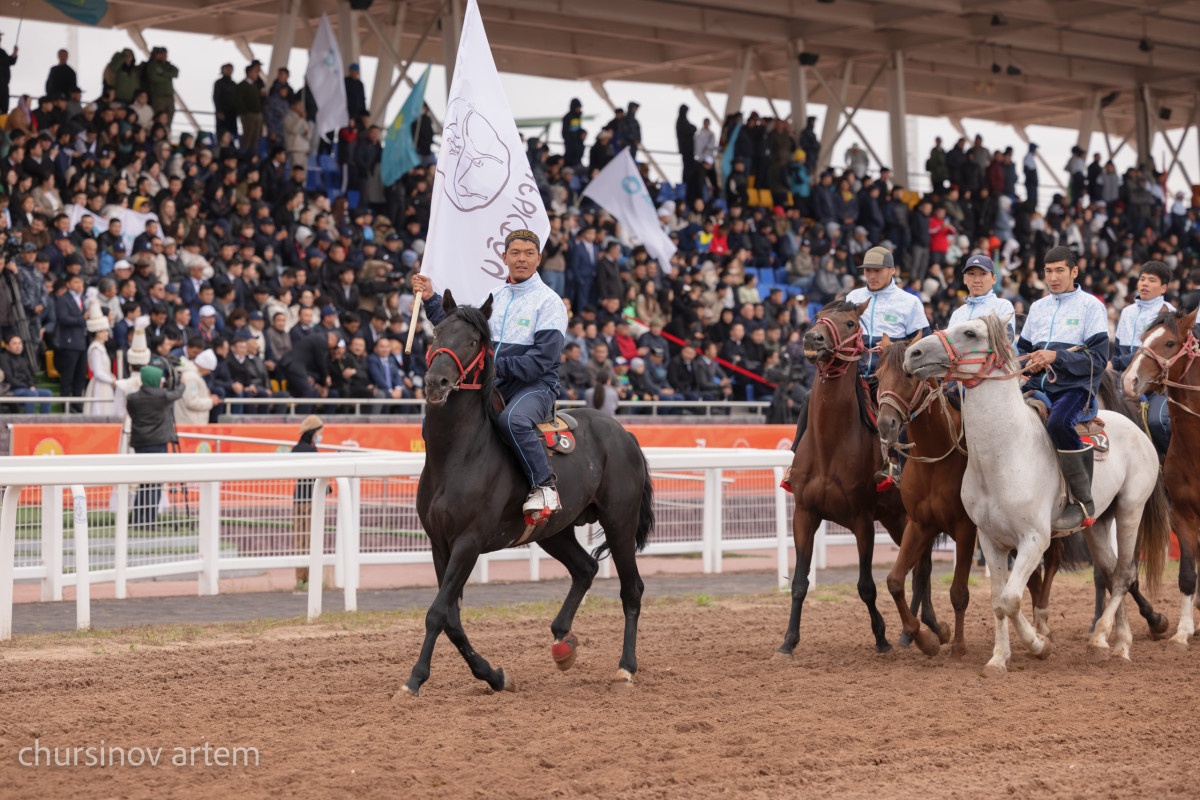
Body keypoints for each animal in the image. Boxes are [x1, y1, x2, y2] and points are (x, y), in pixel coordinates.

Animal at [398, 291, 652, 695]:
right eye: (436, 332)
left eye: (474, 341)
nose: (437, 381)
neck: (457, 454)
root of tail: (623, 432)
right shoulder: (440, 544)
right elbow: (452, 618)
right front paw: (494, 675)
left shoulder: (468, 543)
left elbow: (437, 613)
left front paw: (415, 678)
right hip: (554, 530)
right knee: (586, 568)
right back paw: (563, 641)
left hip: (619, 522)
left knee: (632, 589)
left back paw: (625, 667)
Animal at [772, 302, 902, 657]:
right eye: (817, 318)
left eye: (850, 323)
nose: (812, 338)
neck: (830, 443)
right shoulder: (805, 515)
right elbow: (799, 583)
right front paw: (788, 641)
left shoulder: (862, 519)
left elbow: (866, 586)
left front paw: (881, 637)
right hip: (898, 520)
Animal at [902, 314, 1166, 676]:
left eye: (970, 332)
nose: (912, 354)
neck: (1005, 453)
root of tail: (1137, 430)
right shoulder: (990, 540)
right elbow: (997, 600)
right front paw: (999, 658)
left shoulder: (1034, 540)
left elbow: (1010, 599)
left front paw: (1039, 645)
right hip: (1099, 523)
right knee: (1113, 573)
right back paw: (1116, 642)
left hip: (1130, 510)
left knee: (1125, 573)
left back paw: (1107, 639)